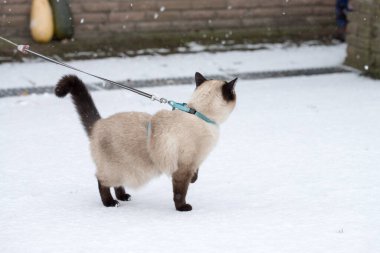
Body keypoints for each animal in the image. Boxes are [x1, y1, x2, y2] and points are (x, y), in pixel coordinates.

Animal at [55, 72, 236, 211]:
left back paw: (123, 197)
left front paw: (194, 180)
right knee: (102, 182)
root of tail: (98, 123)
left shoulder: (194, 162)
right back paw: (111, 203)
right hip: (113, 168)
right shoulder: (183, 167)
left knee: (117, 184)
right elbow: (180, 192)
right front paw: (183, 208)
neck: (201, 114)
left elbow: (194, 175)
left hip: (124, 168)